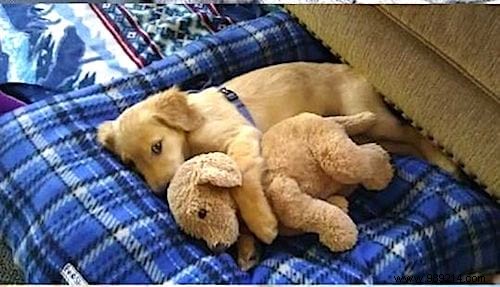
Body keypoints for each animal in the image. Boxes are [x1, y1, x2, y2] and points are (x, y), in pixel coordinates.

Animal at [96, 62, 458, 245]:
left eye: (157, 147)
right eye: (132, 164)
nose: (160, 191)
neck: (192, 127)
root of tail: (355, 69)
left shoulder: (243, 136)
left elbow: (243, 180)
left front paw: (262, 223)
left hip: (372, 116)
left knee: (412, 132)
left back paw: (445, 161)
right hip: (370, 130)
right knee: (399, 144)